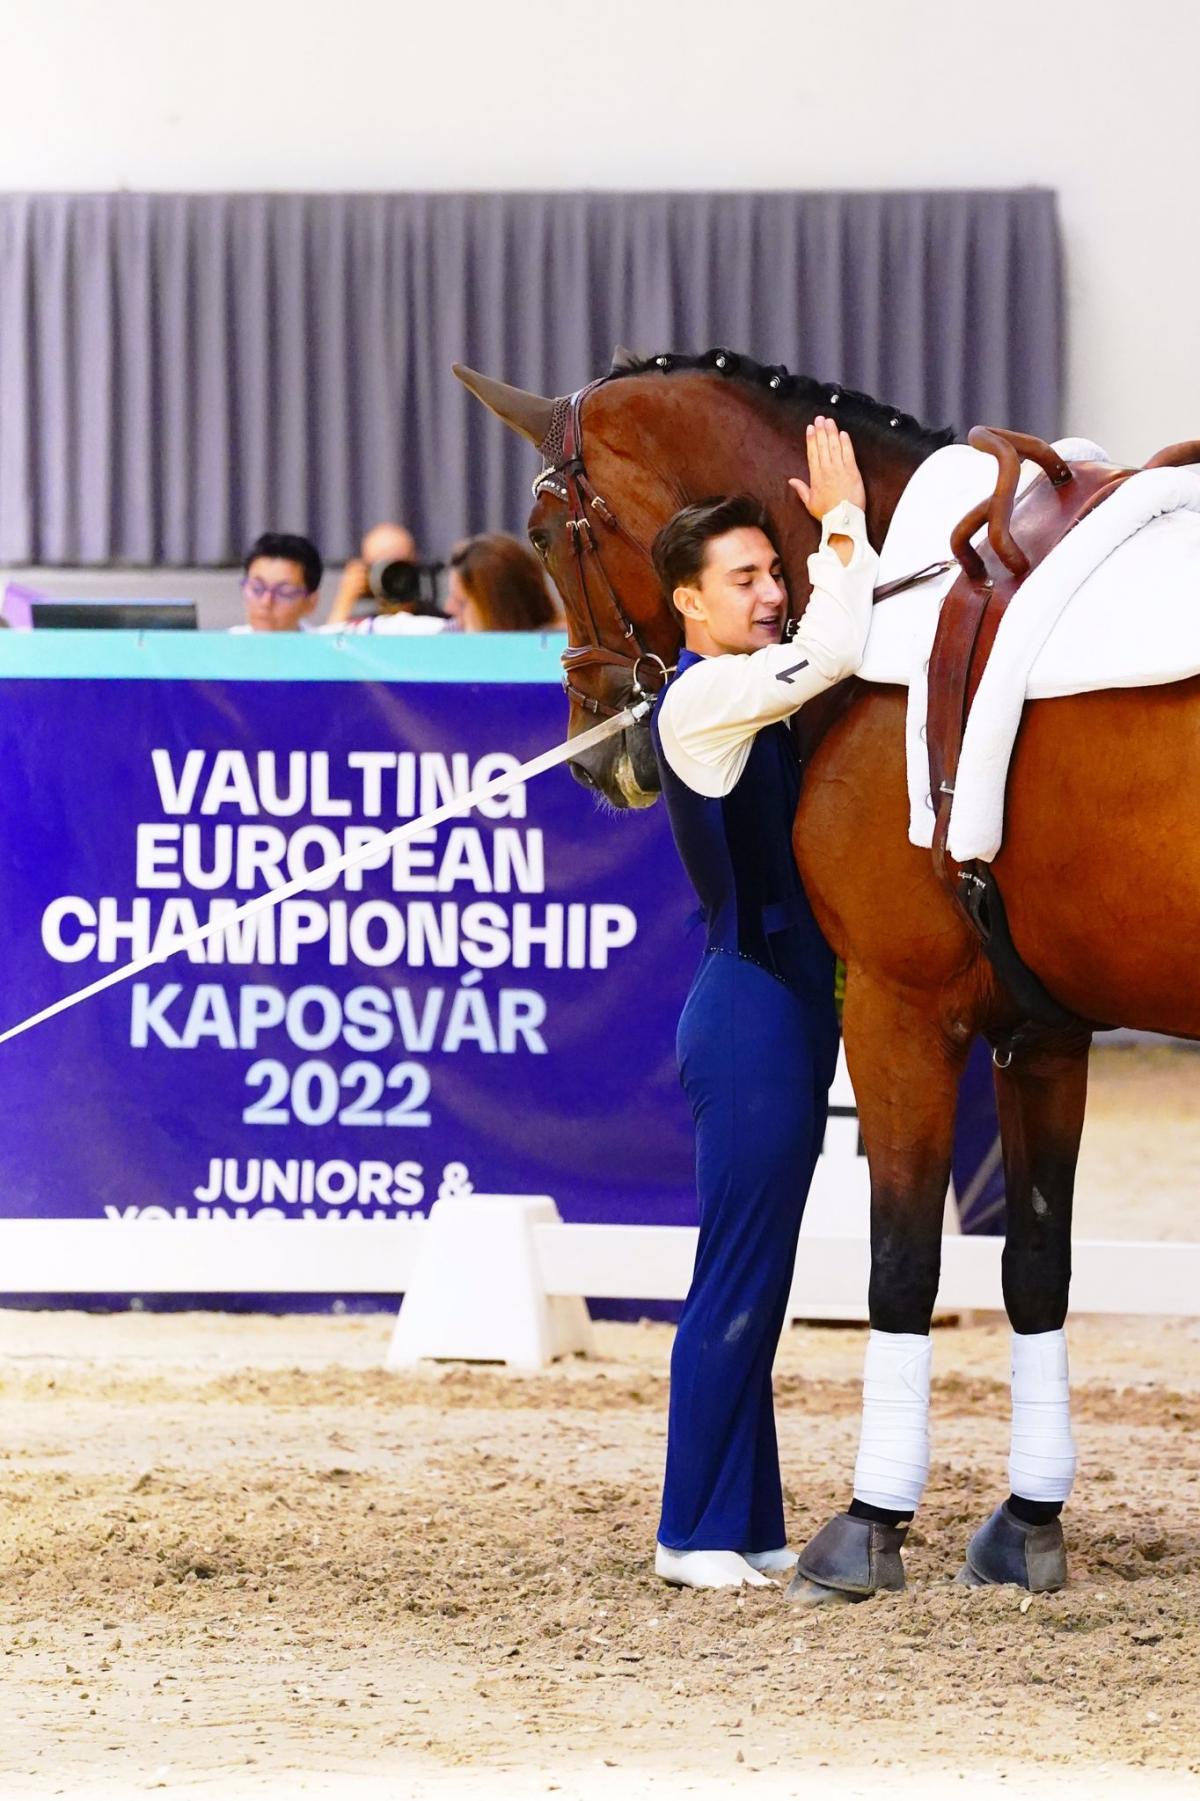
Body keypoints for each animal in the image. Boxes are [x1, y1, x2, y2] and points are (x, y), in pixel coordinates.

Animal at [454, 351, 1189, 1606]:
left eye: (547, 535)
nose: (600, 753)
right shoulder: (1040, 1031)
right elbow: (1036, 1266)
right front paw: (1026, 1523)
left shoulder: (901, 1008)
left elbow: (901, 1263)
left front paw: (864, 1527)